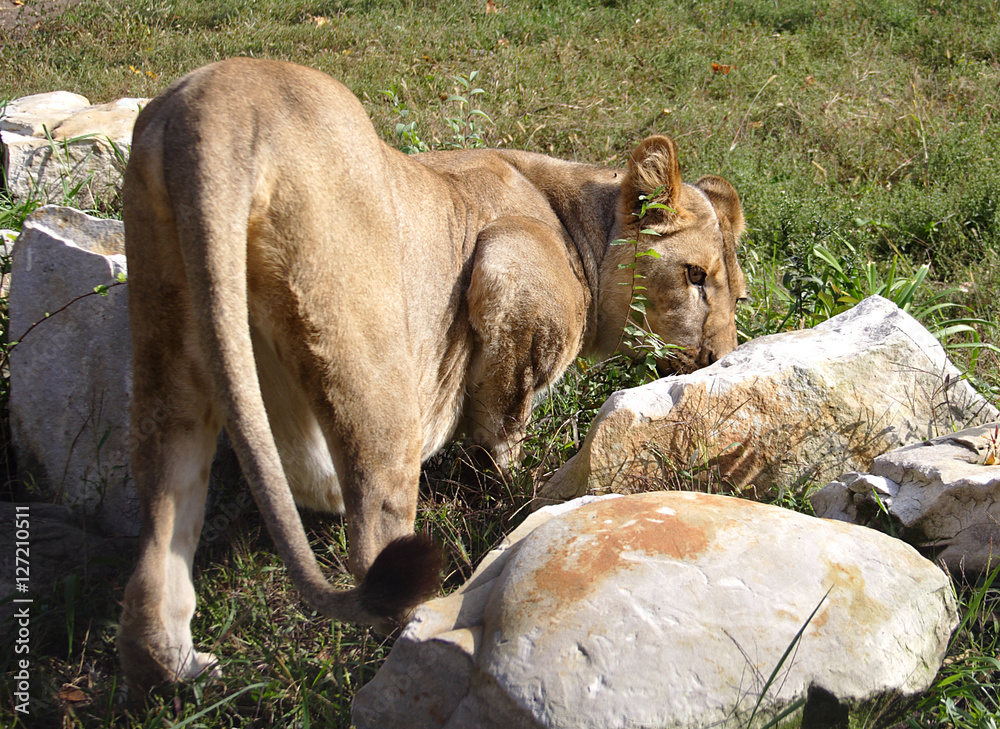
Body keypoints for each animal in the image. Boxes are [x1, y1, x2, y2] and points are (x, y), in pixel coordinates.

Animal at [117, 57, 747, 690]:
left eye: (737, 295)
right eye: (694, 275)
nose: (718, 358)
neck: (574, 222)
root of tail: (214, 107)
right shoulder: (511, 264)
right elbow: (503, 421)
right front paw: (511, 490)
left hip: (169, 351)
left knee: (163, 527)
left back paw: (176, 666)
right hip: (377, 370)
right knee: (376, 532)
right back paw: (423, 625)